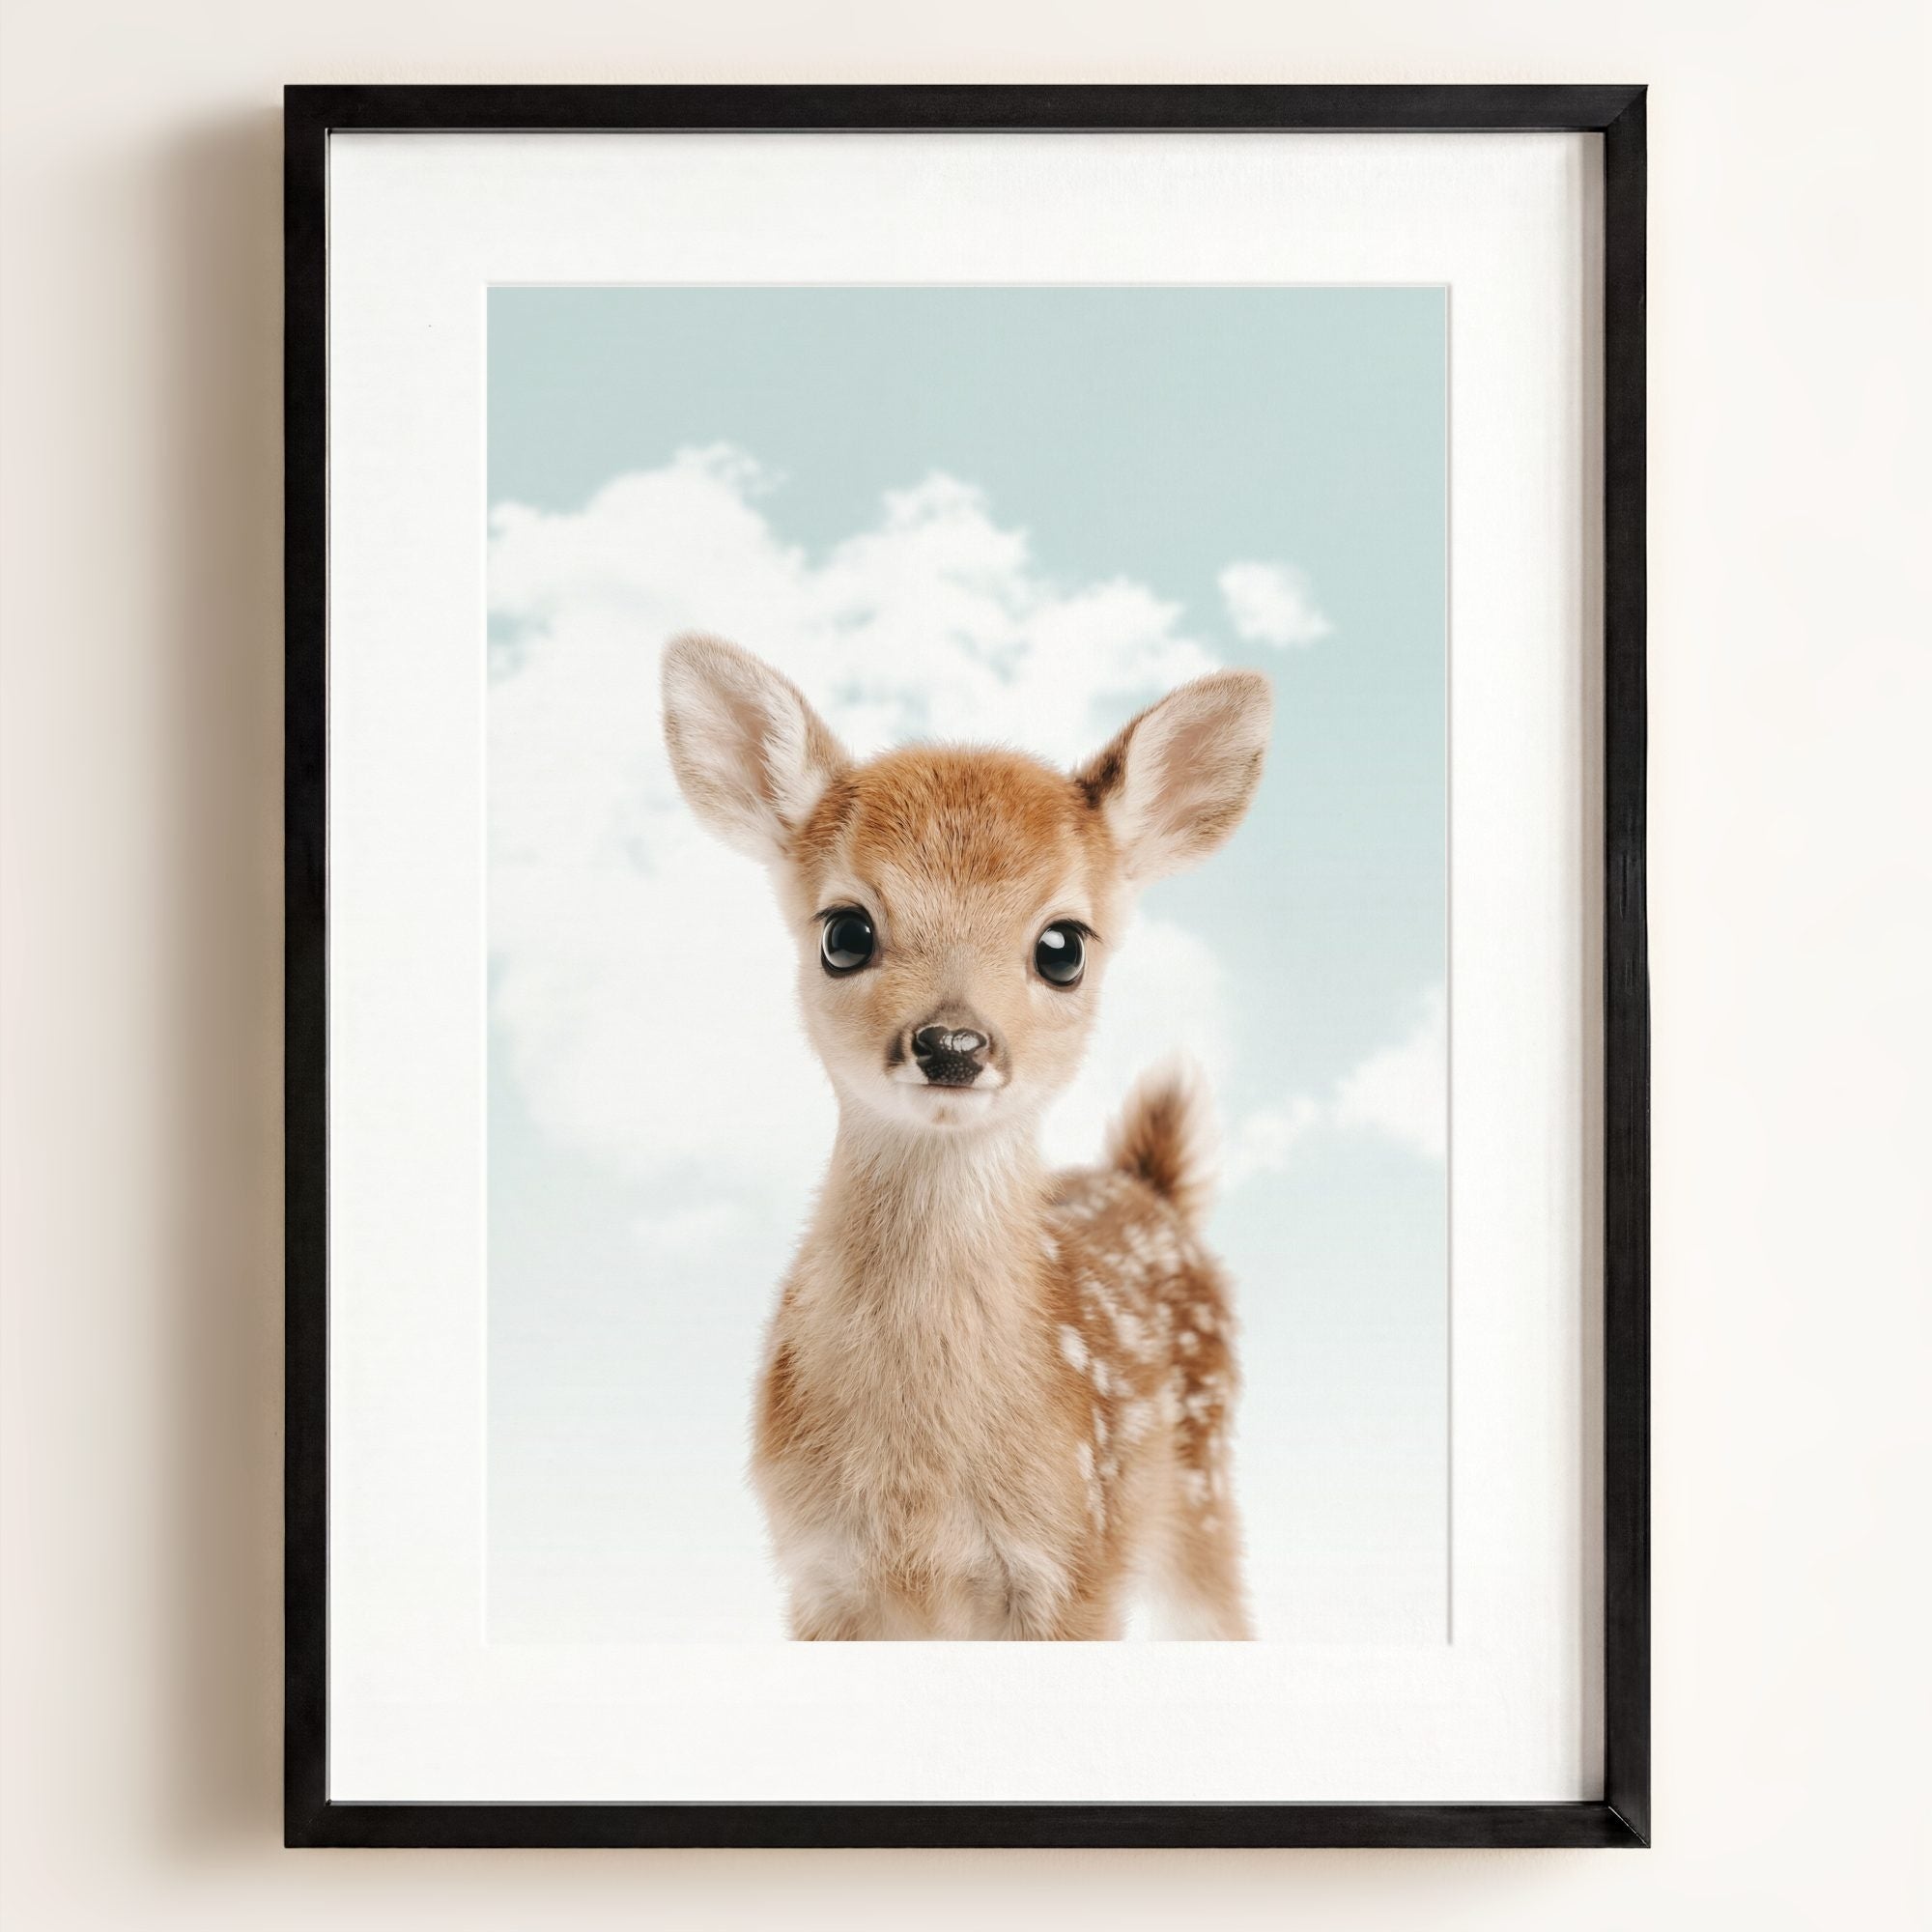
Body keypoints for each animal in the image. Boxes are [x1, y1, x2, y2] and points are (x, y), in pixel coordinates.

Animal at [661, 634, 1273, 1639]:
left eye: (1063, 946)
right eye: (845, 931)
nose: (952, 1044)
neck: (921, 1495)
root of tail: (1150, 1186)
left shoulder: (1076, 1563)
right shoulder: (817, 1573)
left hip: (1201, 1488)